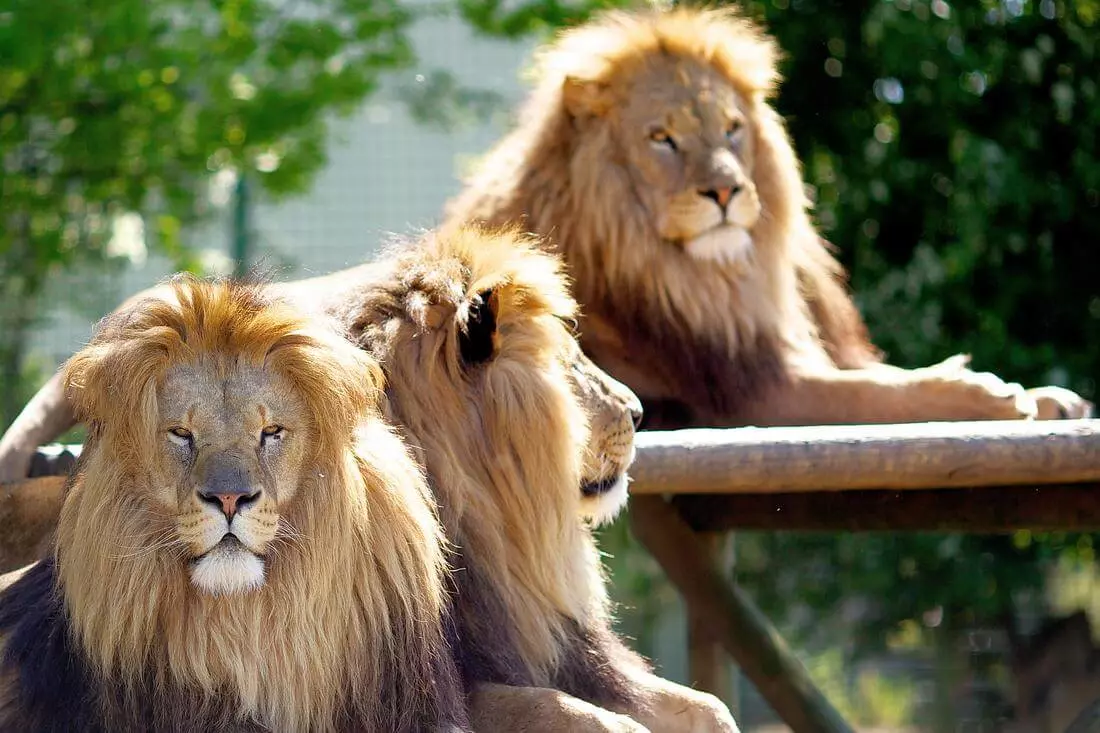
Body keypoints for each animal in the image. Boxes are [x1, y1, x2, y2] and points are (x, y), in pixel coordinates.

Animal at [440, 4, 1091, 429]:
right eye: (662, 138)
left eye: (732, 128)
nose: (726, 190)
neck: (708, 278)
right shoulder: (747, 396)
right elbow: (876, 394)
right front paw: (988, 394)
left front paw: (1051, 397)